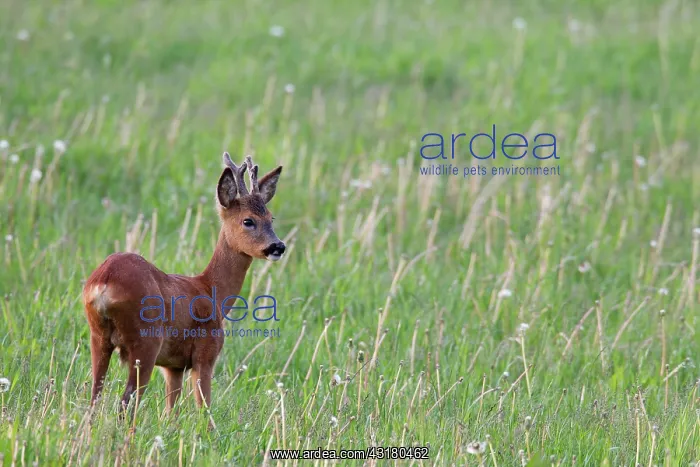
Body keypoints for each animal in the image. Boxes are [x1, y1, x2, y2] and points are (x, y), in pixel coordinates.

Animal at [83, 153, 285, 415]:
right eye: (248, 221)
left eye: (271, 218)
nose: (278, 246)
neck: (211, 291)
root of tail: (104, 281)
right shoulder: (205, 354)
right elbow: (205, 410)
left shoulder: (173, 366)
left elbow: (170, 413)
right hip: (145, 341)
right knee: (127, 402)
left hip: (98, 336)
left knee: (94, 399)